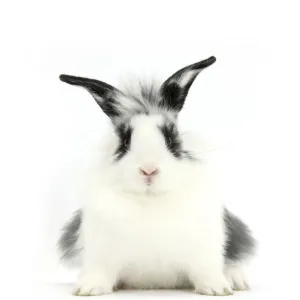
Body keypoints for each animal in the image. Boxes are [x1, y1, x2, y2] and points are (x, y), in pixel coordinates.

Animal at [58, 56, 255, 298]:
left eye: (172, 139)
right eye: (124, 141)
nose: (149, 169)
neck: (150, 200)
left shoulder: (205, 249)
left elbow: (206, 270)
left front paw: (218, 288)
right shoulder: (99, 252)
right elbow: (99, 272)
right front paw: (88, 289)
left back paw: (236, 281)